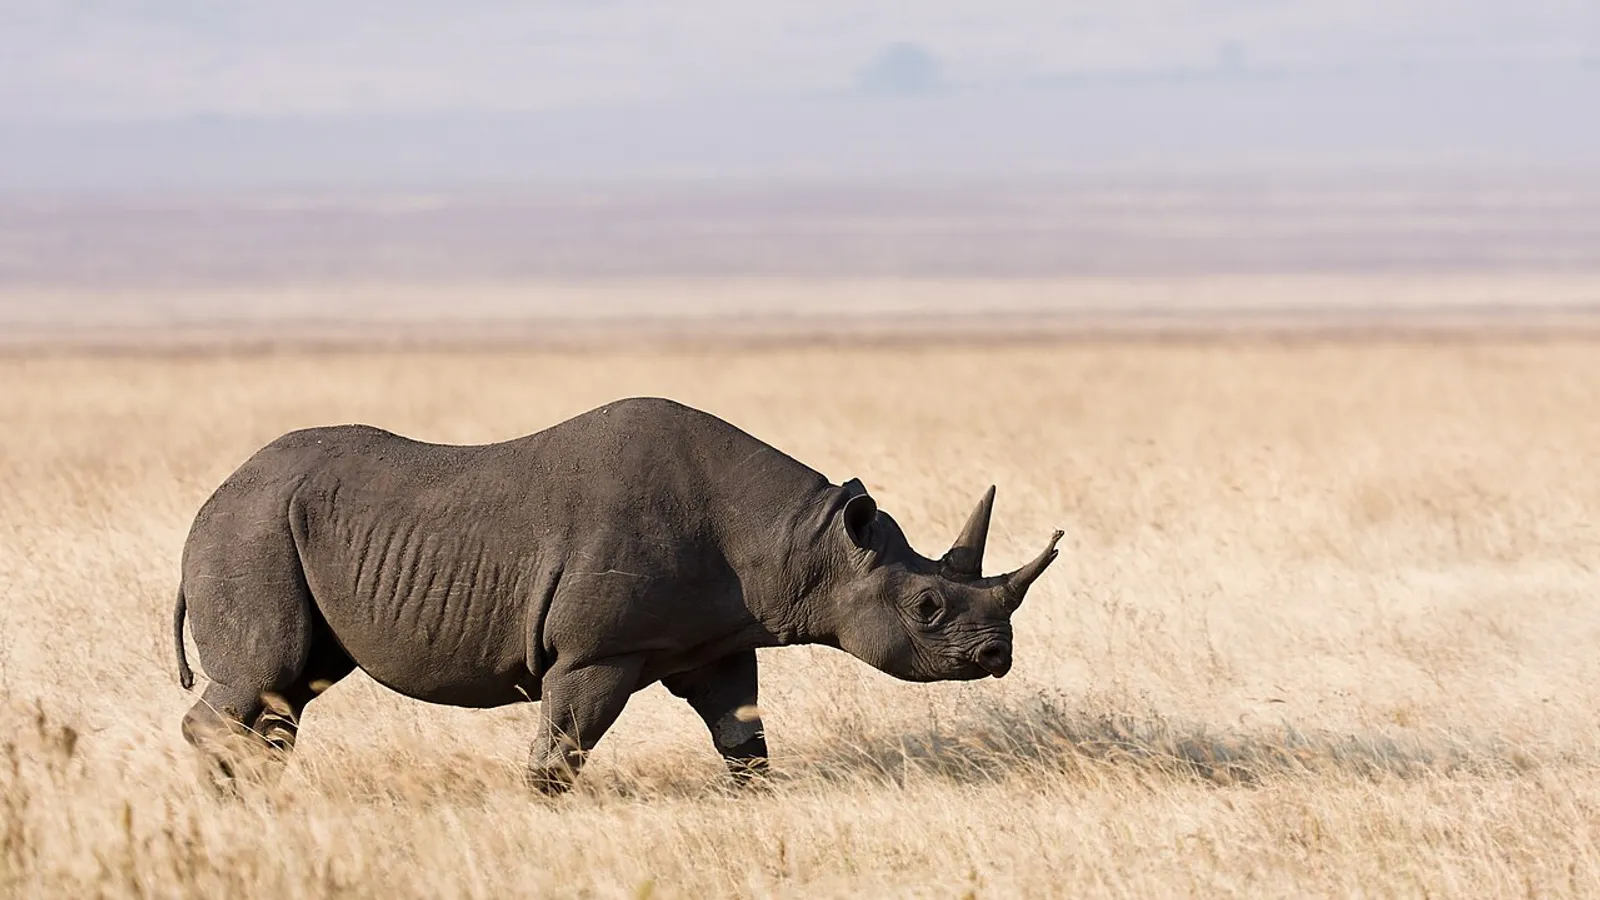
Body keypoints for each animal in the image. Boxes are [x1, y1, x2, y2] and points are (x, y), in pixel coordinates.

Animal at [173, 397, 1061, 792]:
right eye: (926, 609)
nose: (998, 655)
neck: (805, 543)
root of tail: (208, 501)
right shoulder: (598, 651)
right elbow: (562, 749)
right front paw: (542, 811)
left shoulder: (716, 639)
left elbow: (743, 736)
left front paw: (753, 802)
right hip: (251, 530)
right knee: (269, 668)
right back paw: (231, 796)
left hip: (271, 526)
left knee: (292, 687)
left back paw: (257, 794)